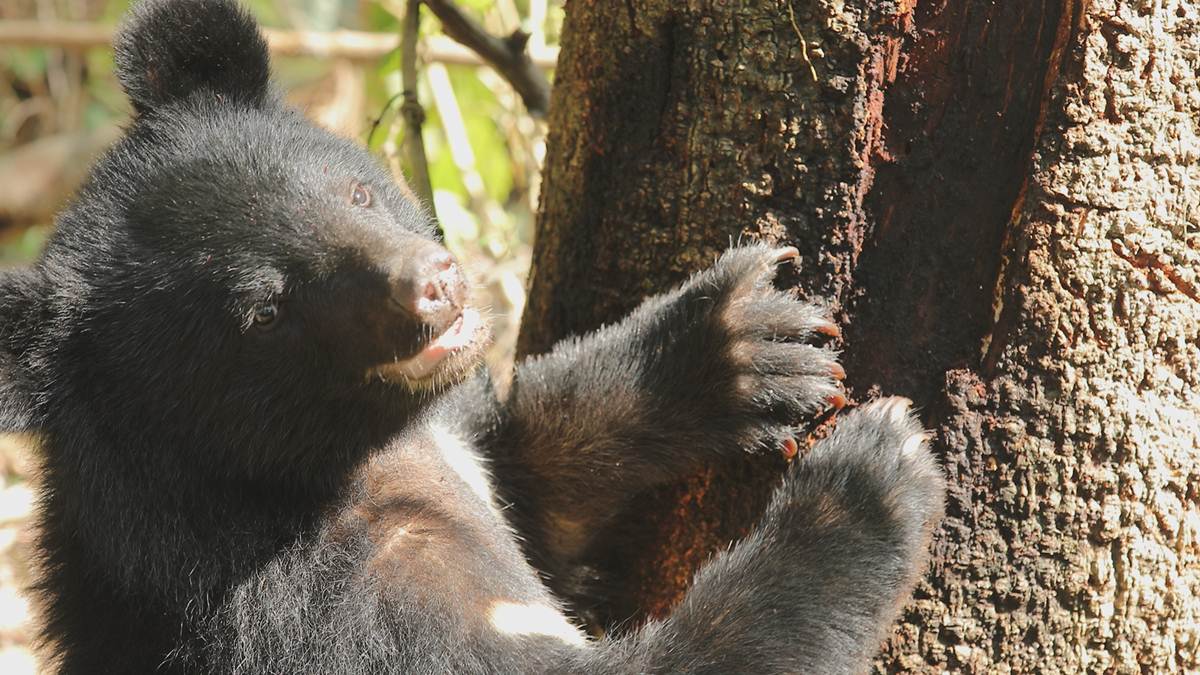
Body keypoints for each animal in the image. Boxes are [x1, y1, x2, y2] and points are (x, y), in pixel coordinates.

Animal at [0, 2, 945, 667]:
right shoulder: (326, 602)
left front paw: (746, 339)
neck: (357, 453)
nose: (434, 283)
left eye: (353, 192)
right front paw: (872, 468)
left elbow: (533, 481)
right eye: (264, 312)